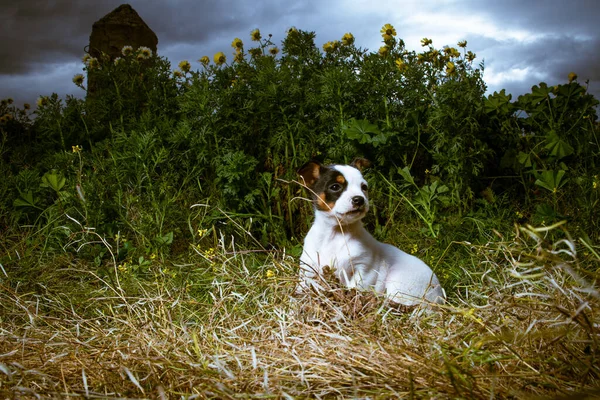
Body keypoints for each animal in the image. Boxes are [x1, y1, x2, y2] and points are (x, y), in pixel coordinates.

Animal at [296, 158, 442, 304]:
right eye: (335, 187)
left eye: (364, 187)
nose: (359, 199)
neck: (336, 234)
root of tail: (440, 295)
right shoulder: (308, 269)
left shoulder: (364, 270)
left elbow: (355, 288)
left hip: (399, 283)